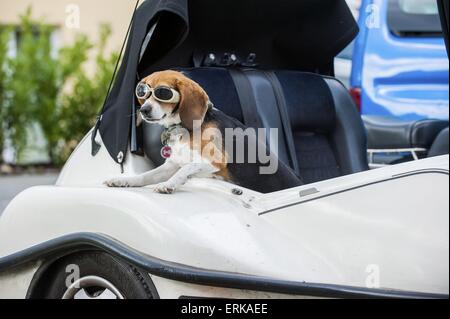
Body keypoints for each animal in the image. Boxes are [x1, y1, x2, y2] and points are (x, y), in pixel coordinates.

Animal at [104, 71, 302, 194]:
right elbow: (145, 176)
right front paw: (123, 181)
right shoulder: (172, 164)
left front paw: (168, 184)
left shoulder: (215, 161)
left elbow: (186, 169)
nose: (143, 110)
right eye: (142, 92)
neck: (183, 128)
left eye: (163, 93)